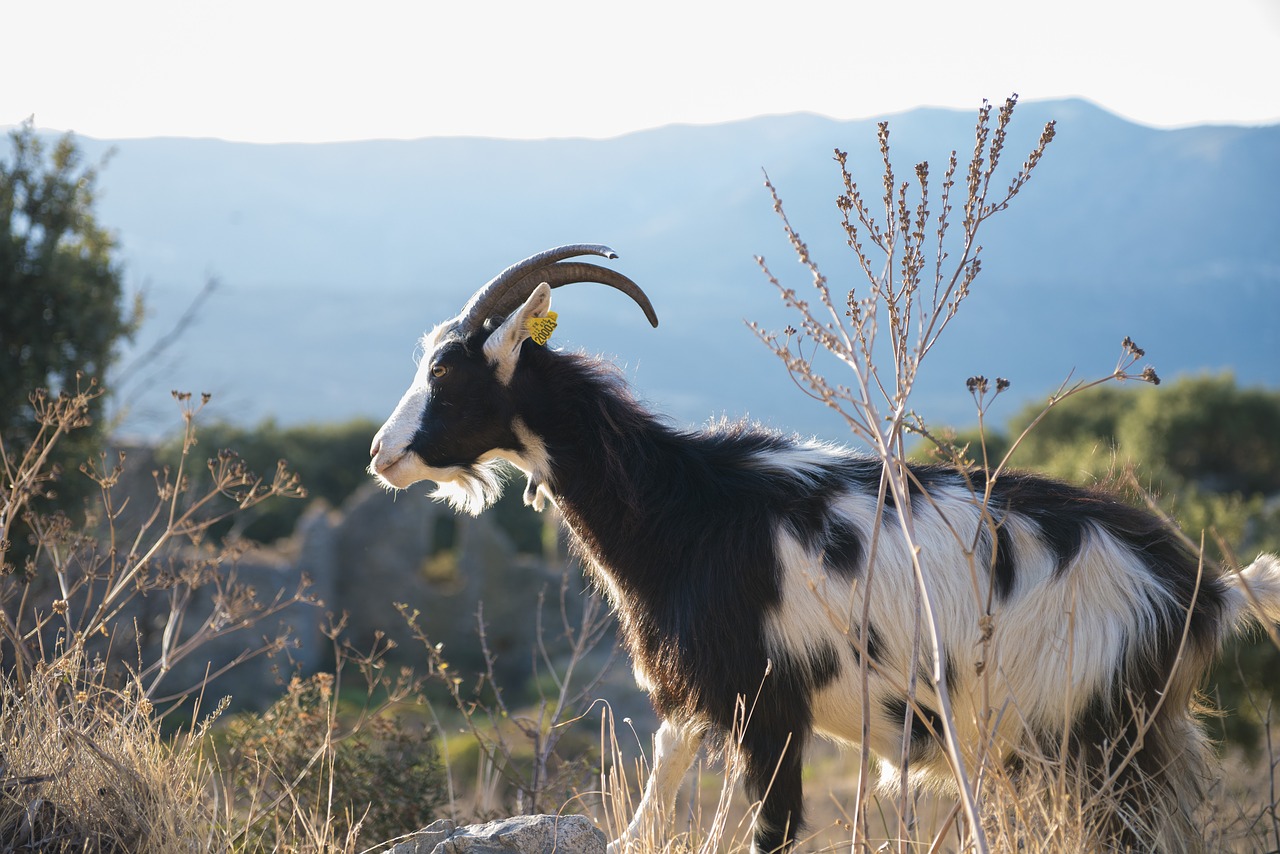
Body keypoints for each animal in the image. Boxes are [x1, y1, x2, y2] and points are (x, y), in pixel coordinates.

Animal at [369, 245, 1280, 853]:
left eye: (447, 372)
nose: (380, 454)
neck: (684, 506)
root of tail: (1201, 586)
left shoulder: (769, 705)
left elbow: (772, 828)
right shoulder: (695, 700)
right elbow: (655, 803)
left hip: (1099, 739)